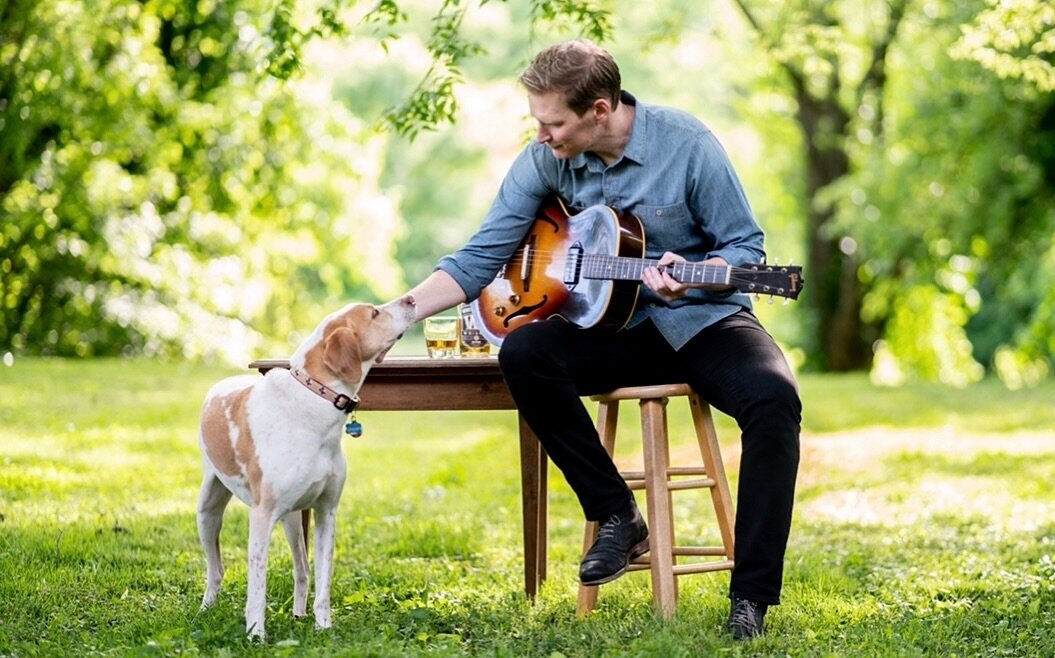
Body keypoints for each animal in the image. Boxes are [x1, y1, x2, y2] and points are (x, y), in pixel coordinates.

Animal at [197, 295, 415, 641]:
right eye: (374, 313)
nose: (411, 298)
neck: (317, 400)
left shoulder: (327, 513)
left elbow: (323, 580)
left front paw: (323, 627)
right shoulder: (261, 517)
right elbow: (257, 586)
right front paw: (256, 635)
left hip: (292, 521)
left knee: (302, 570)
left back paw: (298, 614)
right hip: (208, 511)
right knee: (215, 568)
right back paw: (206, 608)